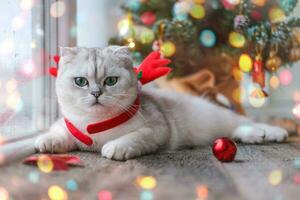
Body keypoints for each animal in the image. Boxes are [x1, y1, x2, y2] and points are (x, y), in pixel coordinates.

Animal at [35, 46, 288, 161]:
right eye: (80, 82)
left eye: (111, 81)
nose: (96, 93)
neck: (96, 126)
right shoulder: (67, 125)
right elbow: (58, 132)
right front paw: (47, 142)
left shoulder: (157, 129)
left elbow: (132, 138)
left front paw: (115, 147)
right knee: (238, 130)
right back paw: (255, 136)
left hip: (219, 117)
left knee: (245, 121)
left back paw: (272, 133)